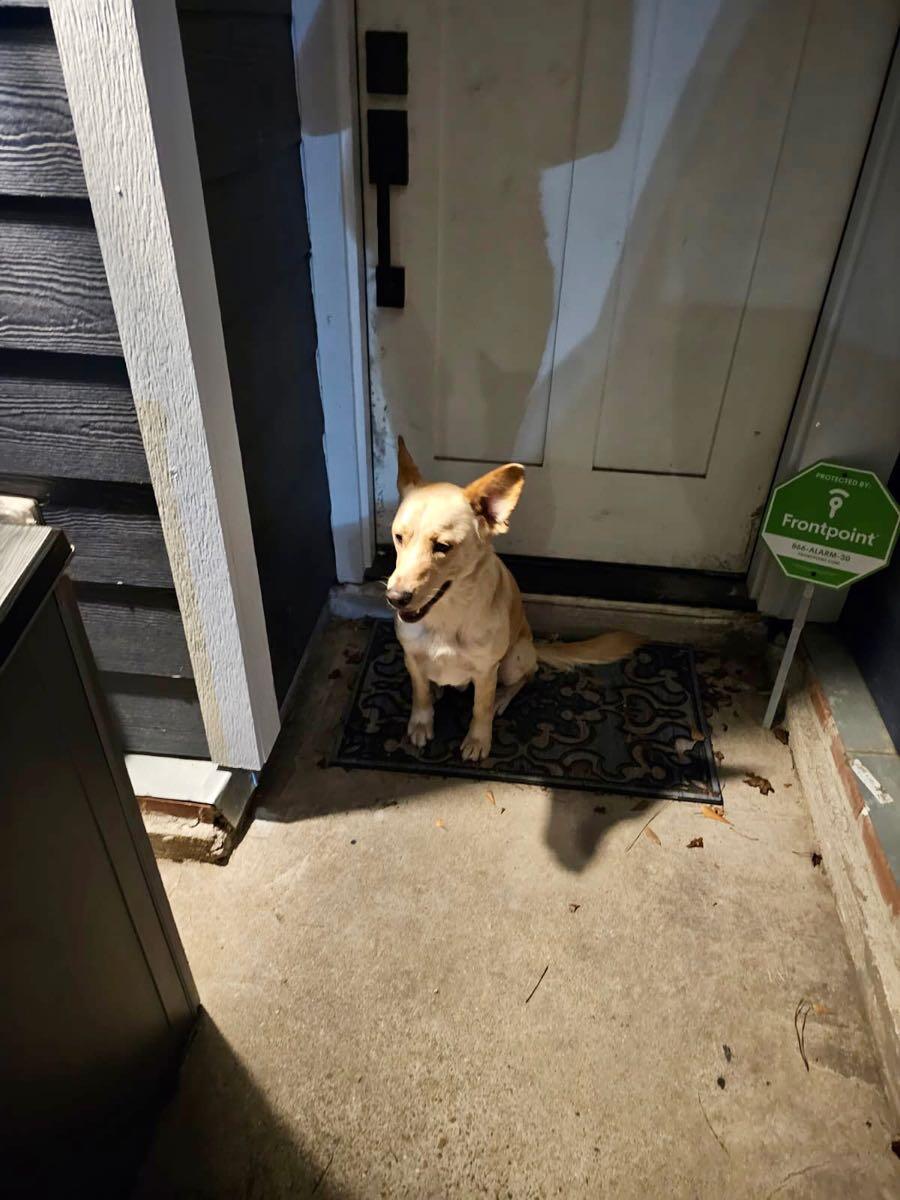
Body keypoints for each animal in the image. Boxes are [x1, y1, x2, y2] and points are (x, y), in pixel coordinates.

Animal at [386, 439, 643, 758]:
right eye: (398, 537)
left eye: (443, 546)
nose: (395, 598)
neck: (446, 617)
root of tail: (534, 645)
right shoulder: (411, 657)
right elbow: (419, 694)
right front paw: (421, 723)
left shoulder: (486, 671)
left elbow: (480, 709)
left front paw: (478, 740)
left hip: (513, 659)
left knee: (527, 675)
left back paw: (502, 697)